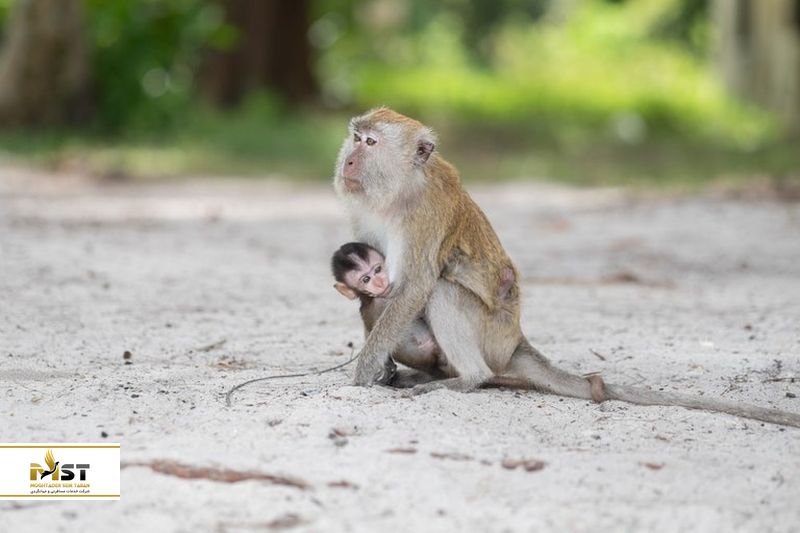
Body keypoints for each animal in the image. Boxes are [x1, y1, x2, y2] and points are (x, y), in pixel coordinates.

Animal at [332, 106, 800, 428]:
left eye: (370, 144)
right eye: (355, 137)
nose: (348, 161)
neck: (399, 192)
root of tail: (515, 340)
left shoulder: (423, 216)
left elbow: (414, 288)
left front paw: (362, 374)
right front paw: (380, 367)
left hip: (492, 337)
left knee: (443, 292)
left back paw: (466, 379)